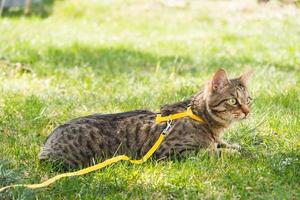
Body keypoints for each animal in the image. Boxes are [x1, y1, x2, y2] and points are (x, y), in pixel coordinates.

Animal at [38, 69, 252, 169]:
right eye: (233, 101)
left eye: (248, 99)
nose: (247, 111)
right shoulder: (175, 152)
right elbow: (214, 153)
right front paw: (236, 154)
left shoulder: (216, 140)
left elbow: (227, 145)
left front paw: (241, 149)